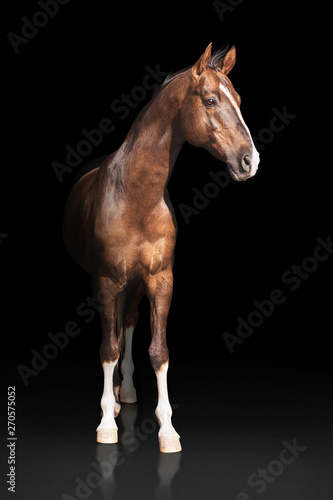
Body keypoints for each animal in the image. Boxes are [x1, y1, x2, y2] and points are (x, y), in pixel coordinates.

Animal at [62, 43, 260, 454]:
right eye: (211, 99)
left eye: (238, 100)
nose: (250, 161)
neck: (136, 197)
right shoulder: (105, 283)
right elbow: (108, 348)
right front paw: (106, 424)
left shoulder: (160, 279)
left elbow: (158, 351)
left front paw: (167, 429)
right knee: (115, 333)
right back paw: (115, 402)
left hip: (136, 284)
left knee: (128, 323)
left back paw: (126, 393)